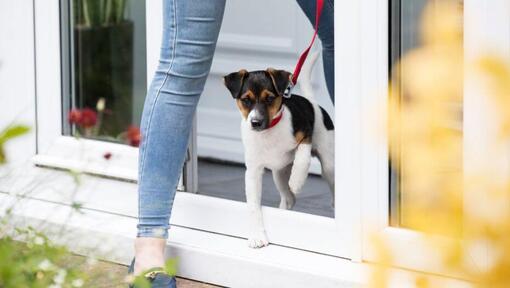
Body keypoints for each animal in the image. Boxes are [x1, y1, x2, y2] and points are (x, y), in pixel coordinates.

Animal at [222, 53, 334, 249]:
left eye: (269, 98)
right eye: (246, 100)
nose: (256, 122)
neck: (269, 131)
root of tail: (312, 103)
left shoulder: (306, 135)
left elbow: (303, 158)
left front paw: (297, 180)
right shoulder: (253, 172)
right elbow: (253, 206)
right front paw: (256, 236)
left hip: (329, 164)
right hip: (278, 173)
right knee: (289, 198)